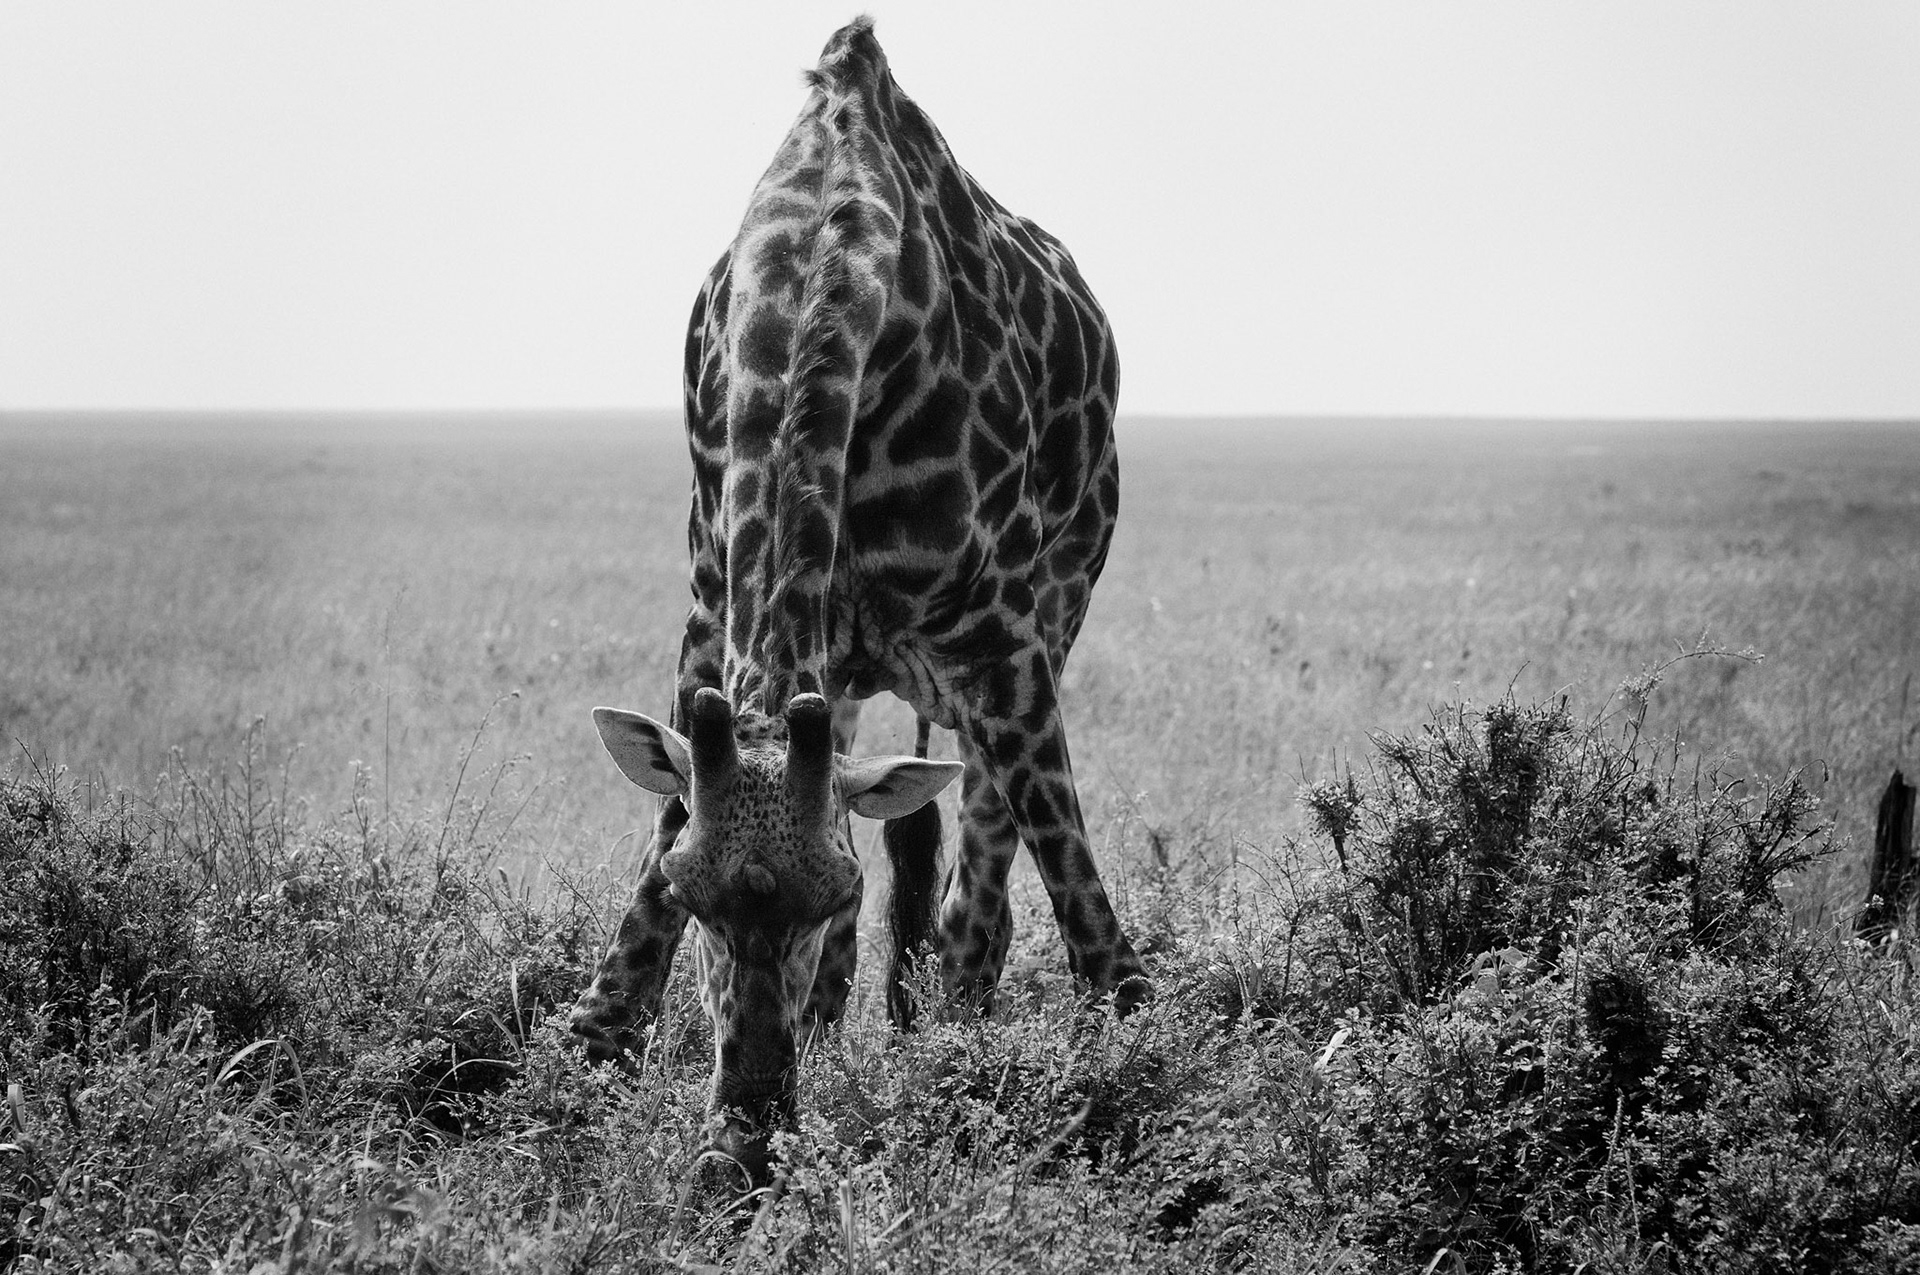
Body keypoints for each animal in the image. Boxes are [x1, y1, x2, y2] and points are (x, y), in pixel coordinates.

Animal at [571, 17, 1148, 1181]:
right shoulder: (710, 605)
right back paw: (845, 1021)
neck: (819, 268)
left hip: (1053, 604)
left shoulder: (1001, 637)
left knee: (989, 834)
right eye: (692, 894)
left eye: (838, 888)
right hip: (841, 661)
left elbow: (1067, 872)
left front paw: (1130, 1043)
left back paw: (956, 1006)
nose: (749, 1135)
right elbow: (667, 813)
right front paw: (595, 1047)